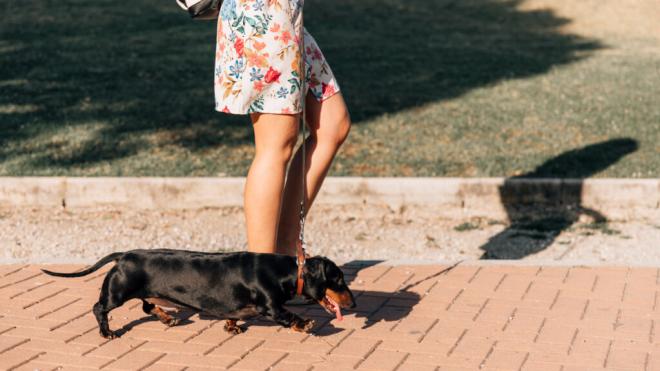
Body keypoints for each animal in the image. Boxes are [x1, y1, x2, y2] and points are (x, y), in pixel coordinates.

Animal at [41, 250, 356, 340]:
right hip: (117, 292)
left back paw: (167, 318)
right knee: (99, 308)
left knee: (147, 308)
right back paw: (107, 332)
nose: (353, 303)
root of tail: (124, 255)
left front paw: (232, 326)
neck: (288, 270)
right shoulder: (270, 305)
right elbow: (287, 314)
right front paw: (305, 324)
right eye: (339, 279)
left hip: (147, 294)